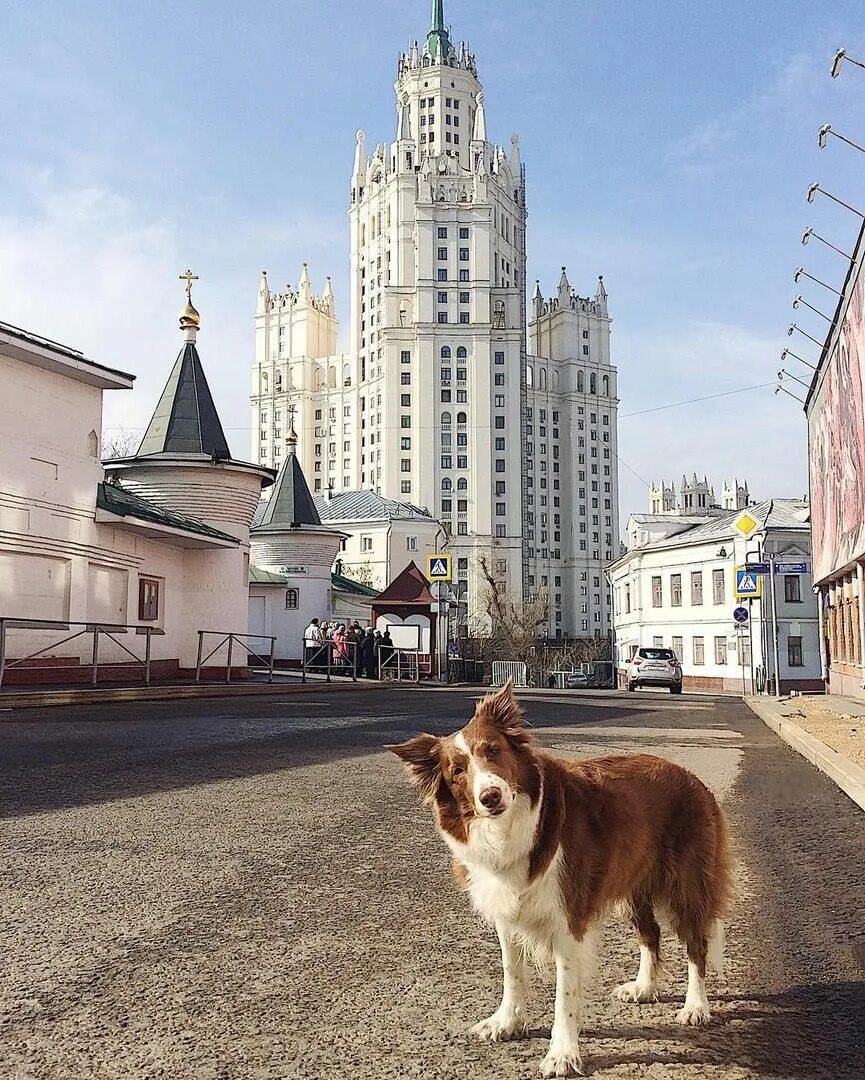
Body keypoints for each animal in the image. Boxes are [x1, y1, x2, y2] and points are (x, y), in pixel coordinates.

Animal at [388, 678, 734, 1075]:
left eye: (493, 750)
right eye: (457, 771)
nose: (490, 796)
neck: (512, 827)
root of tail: (691, 779)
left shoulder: (568, 920)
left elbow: (563, 995)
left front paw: (563, 1053)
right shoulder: (507, 912)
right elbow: (512, 970)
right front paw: (507, 1022)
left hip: (687, 884)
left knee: (696, 945)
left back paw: (696, 1006)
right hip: (632, 884)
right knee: (651, 934)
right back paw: (644, 988)